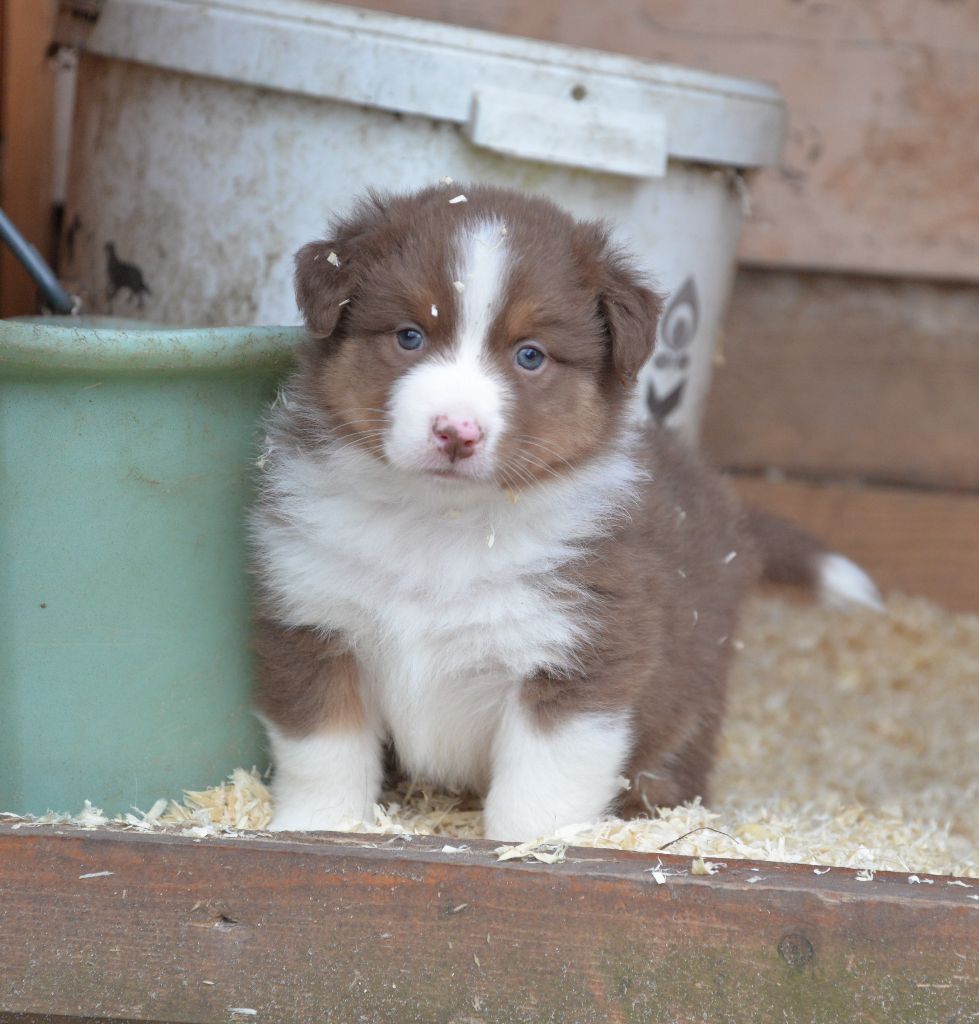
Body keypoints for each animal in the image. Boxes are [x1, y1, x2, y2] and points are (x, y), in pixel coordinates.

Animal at [249, 184, 881, 841]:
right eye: (408, 337)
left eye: (530, 356)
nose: (457, 432)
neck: (443, 523)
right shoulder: (313, 624)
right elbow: (323, 748)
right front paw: (314, 826)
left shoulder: (580, 657)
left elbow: (540, 787)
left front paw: (531, 848)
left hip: (697, 685)